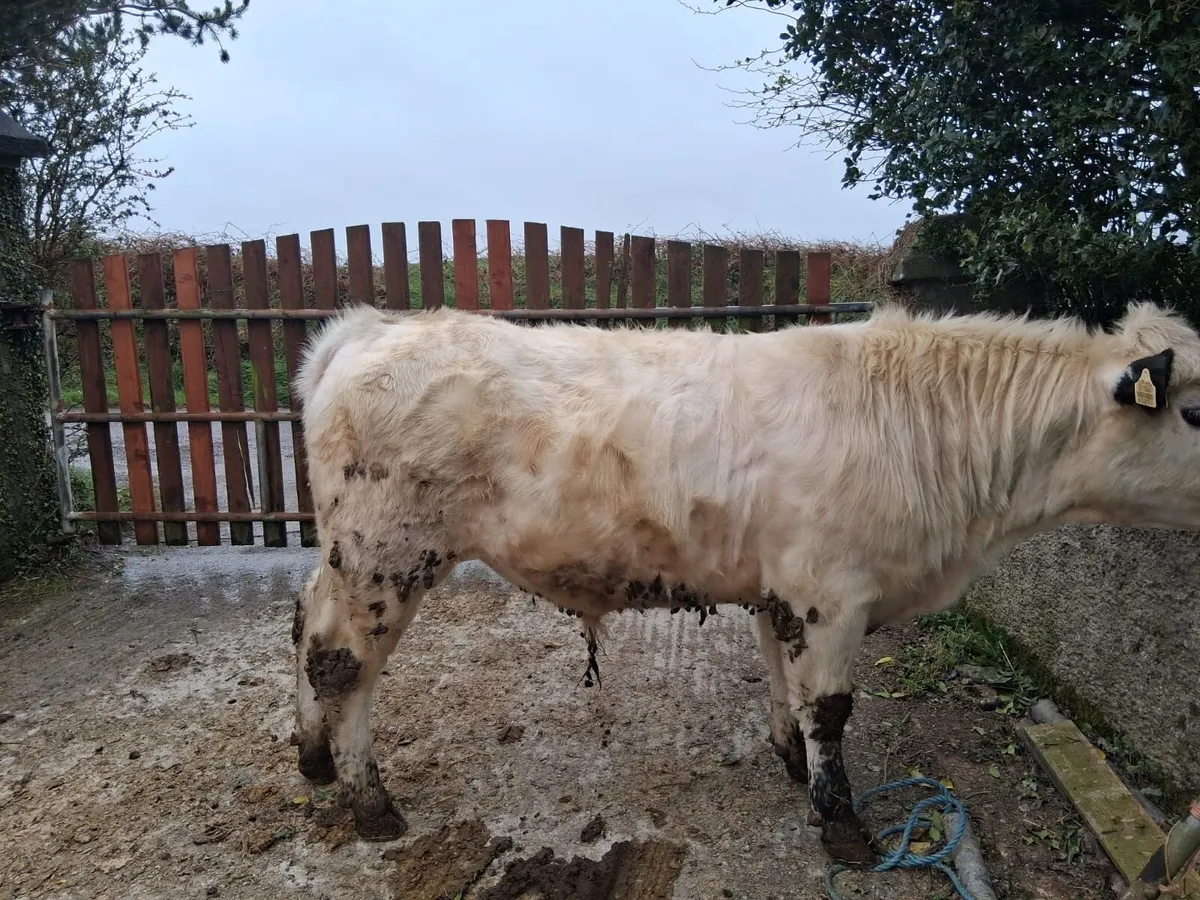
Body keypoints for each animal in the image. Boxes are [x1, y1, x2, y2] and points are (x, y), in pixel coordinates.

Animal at [288, 299, 1200, 865]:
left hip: (345, 552)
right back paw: (370, 802)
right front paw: (842, 823)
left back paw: (314, 757)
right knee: (344, 662)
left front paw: (790, 759)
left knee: (305, 626)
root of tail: (371, 330)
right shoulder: (832, 593)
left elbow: (779, 678)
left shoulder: (782, 587)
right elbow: (829, 706)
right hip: (384, 551)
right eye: (1193, 410)